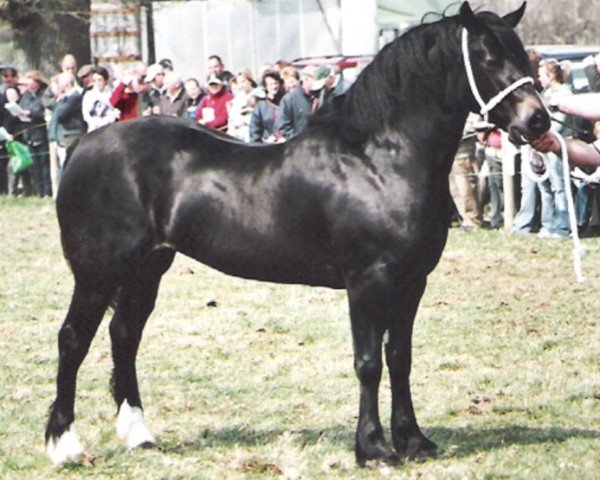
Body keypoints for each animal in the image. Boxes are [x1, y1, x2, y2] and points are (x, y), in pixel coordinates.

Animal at [47, 1, 552, 466]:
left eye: (522, 55)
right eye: (486, 58)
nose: (538, 121)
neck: (377, 159)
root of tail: (83, 145)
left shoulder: (412, 282)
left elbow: (399, 357)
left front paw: (413, 441)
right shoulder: (368, 282)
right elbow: (368, 363)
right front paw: (373, 448)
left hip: (147, 268)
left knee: (124, 335)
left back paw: (138, 434)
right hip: (96, 274)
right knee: (73, 339)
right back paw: (64, 444)